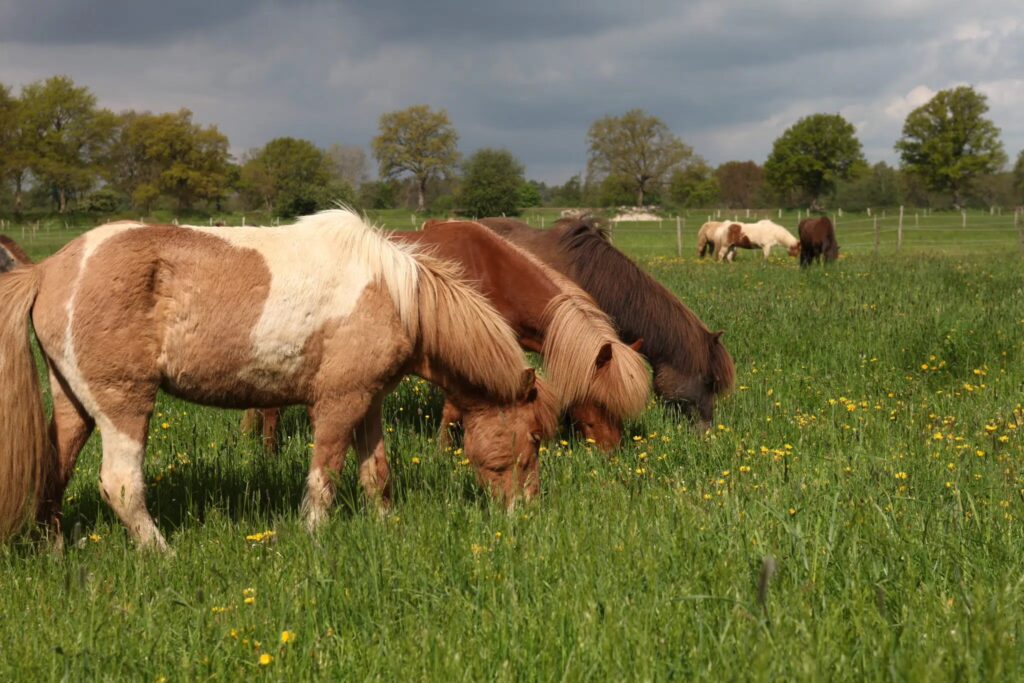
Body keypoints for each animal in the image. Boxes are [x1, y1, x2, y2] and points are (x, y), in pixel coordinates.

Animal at [0, 209, 557, 550]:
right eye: (532, 438)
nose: (527, 512)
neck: (397, 296)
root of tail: (48, 270)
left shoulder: (368, 402)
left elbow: (376, 474)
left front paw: (385, 528)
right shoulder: (337, 403)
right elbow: (324, 477)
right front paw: (313, 534)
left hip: (72, 403)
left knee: (56, 469)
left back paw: (56, 548)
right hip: (123, 405)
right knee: (119, 485)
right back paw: (163, 553)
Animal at [249, 219, 651, 452]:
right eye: (600, 399)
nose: (612, 451)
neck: (493, 272)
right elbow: (453, 407)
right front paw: (444, 450)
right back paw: (270, 452)